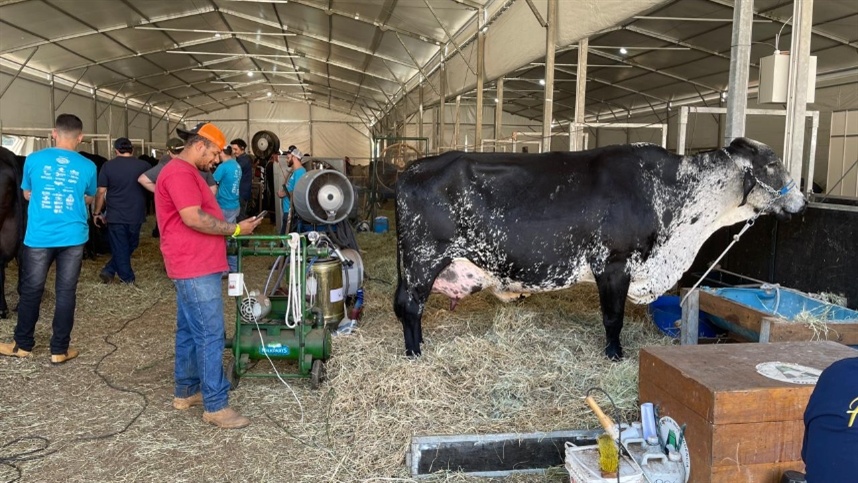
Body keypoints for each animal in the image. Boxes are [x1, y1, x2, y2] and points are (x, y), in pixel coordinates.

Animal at [392, 136, 804, 360]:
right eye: (772, 163)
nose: (801, 201)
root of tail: (410, 170)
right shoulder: (613, 264)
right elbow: (613, 317)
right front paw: (615, 354)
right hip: (422, 260)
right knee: (409, 307)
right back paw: (414, 353)